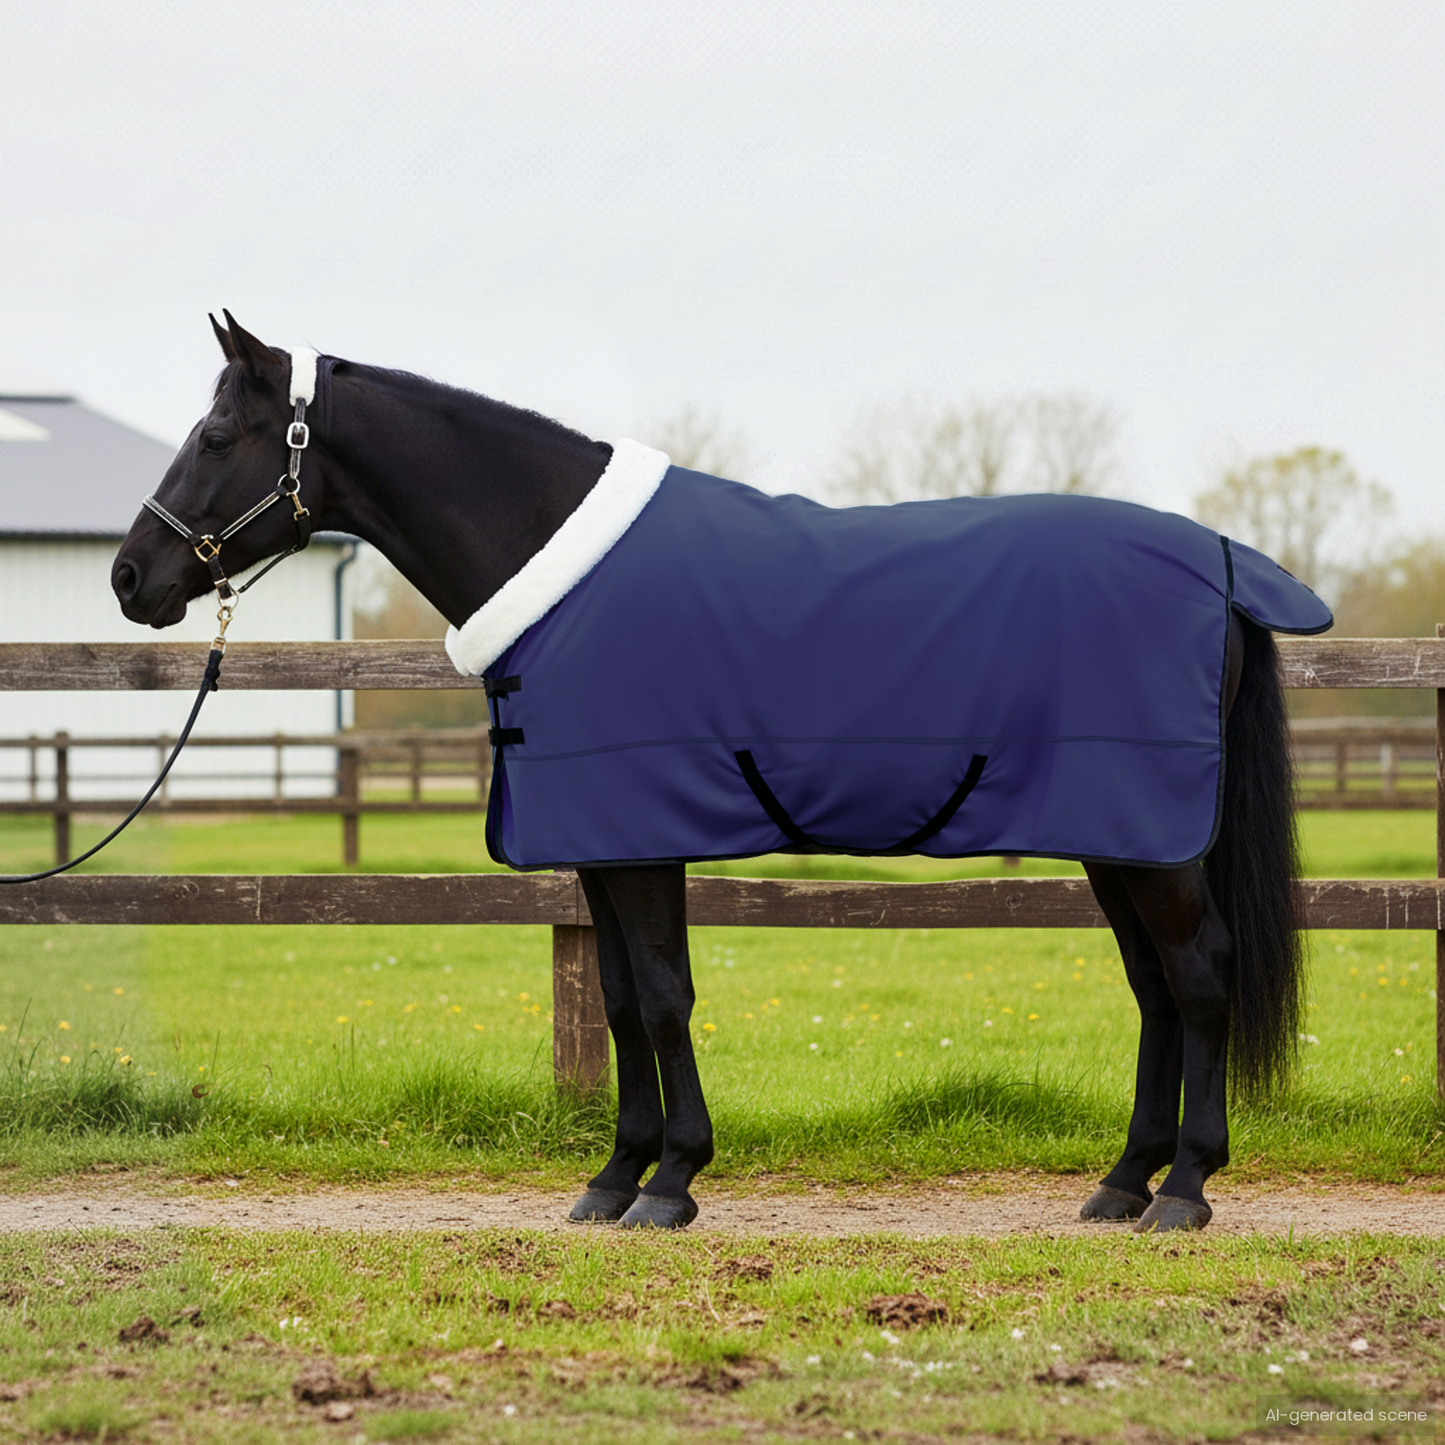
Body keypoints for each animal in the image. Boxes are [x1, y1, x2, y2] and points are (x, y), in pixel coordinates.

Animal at [113, 313, 1321, 1233]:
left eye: (215, 434)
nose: (131, 576)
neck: (557, 566)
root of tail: (1220, 566)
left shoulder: (641, 838)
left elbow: (659, 996)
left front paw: (673, 1180)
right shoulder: (600, 845)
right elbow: (616, 1001)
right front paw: (615, 1177)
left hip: (1150, 839)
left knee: (1198, 973)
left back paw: (1184, 1188)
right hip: (1120, 835)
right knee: (1153, 985)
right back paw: (1122, 1182)